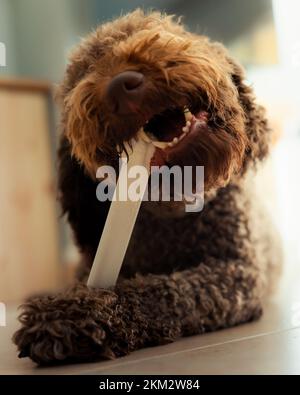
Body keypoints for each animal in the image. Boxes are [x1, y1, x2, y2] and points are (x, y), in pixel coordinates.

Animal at [12, 9, 282, 366]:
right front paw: (71, 306)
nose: (120, 88)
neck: (171, 218)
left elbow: (166, 291)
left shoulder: (236, 271)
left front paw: (74, 316)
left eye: (149, 28)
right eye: (81, 74)